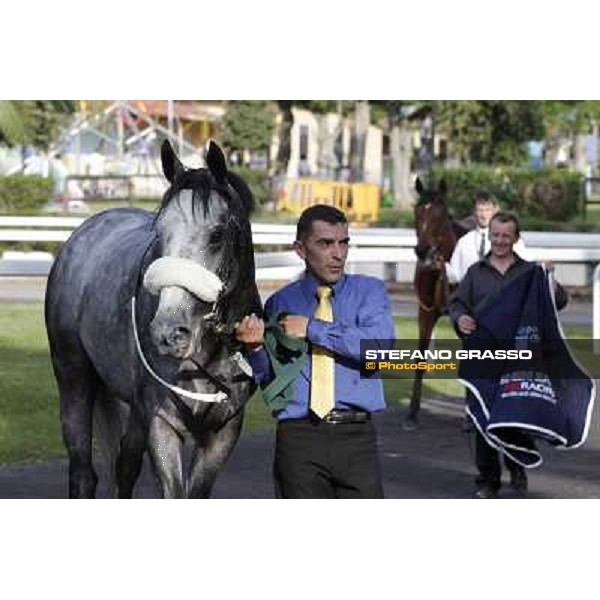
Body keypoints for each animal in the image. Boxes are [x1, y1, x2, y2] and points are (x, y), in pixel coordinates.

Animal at [45, 139, 262, 496]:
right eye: (160, 233)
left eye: (217, 235)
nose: (168, 332)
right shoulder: (162, 423)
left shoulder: (224, 429)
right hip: (74, 379)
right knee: (83, 472)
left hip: (134, 409)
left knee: (124, 468)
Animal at [404, 178, 474, 432]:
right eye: (417, 210)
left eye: (441, 213)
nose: (423, 250)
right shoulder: (426, 311)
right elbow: (420, 357)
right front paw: (412, 414)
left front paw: (469, 418)